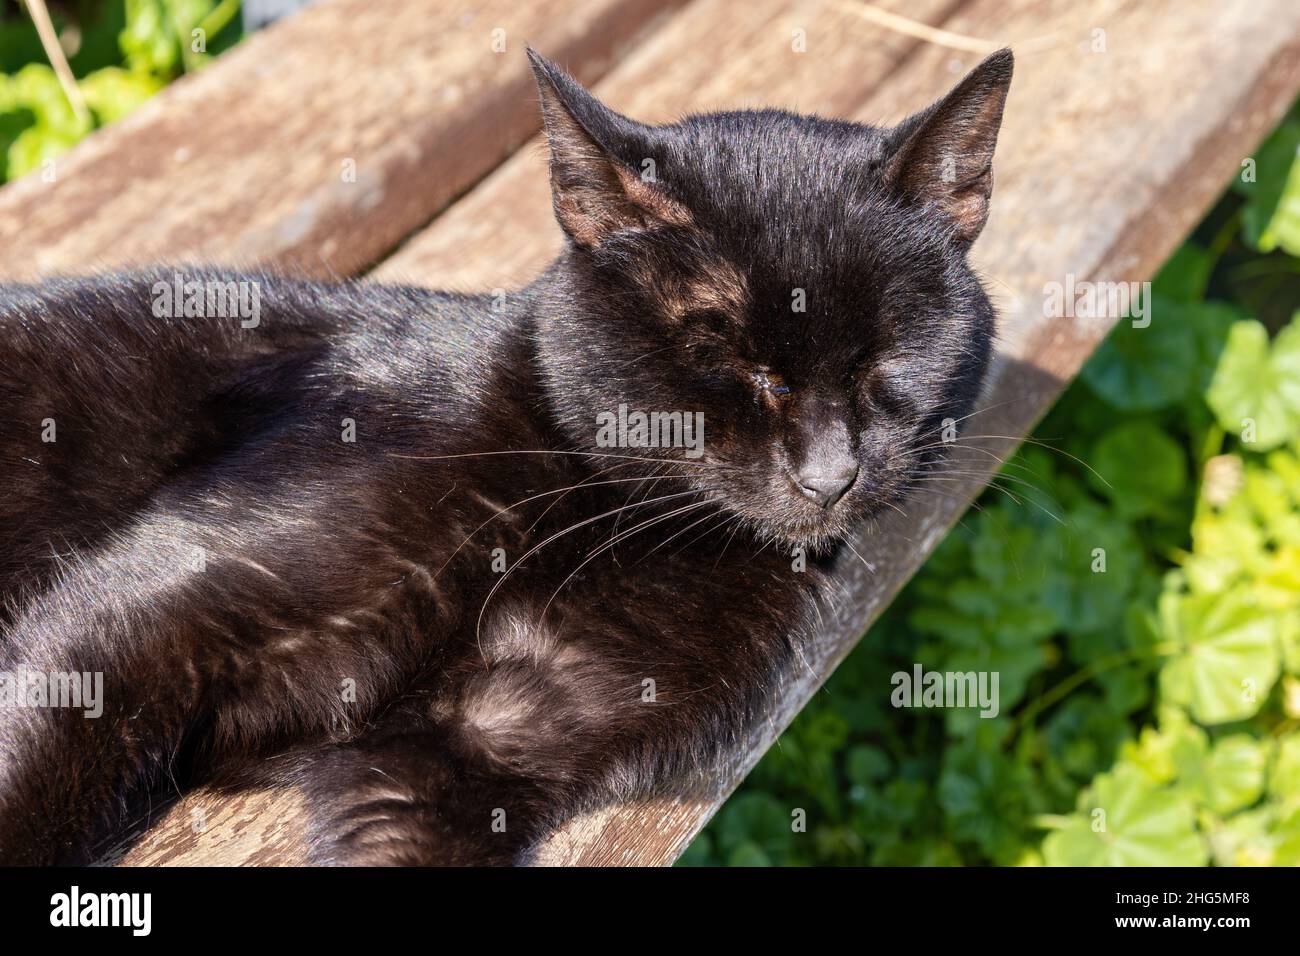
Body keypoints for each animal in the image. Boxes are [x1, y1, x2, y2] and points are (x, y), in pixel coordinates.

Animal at [0, 48, 1008, 863]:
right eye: (736, 365)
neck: (588, 514)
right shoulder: (145, 618)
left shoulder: (473, 751)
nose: (831, 474)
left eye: (887, 364)